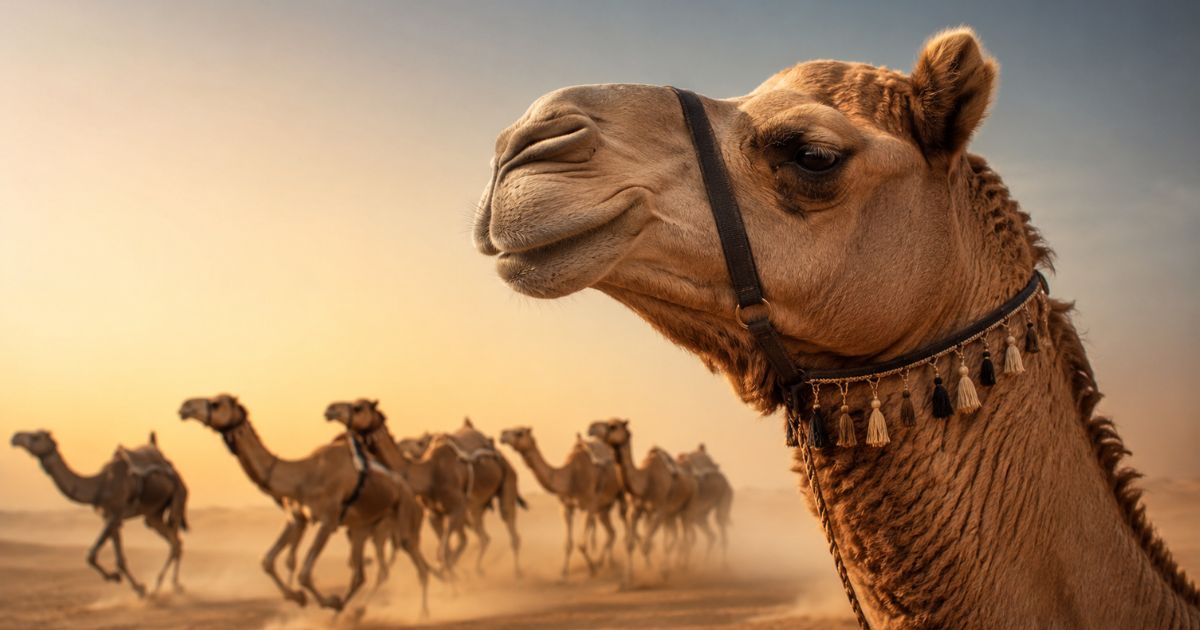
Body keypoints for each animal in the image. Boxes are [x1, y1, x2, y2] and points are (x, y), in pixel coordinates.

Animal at [10, 430, 187, 596]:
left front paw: (122, 581)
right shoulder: (109, 516)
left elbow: (91, 555)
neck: (101, 485)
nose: (15, 437)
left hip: (178, 498)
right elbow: (118, 559)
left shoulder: (115, 514)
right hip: (153, 514)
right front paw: (136, 587)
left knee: (175, 542)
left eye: (36, 437)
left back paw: (167, 585)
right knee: (173, 540)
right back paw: (165, 586)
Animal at [179, 394, 430, 616]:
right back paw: (345, 613)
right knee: (360, 573)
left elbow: (304, 573)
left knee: (417, 564)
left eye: (215, 403)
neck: (304, 474)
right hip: (361, 527)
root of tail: (410, 492)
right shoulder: (297, 518)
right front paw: (300, 597)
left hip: (403, 519)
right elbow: (268, 561)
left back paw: (421, 614)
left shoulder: (328, 520)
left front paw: (324, 600)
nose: (185, 406)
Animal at [498, 426, 625, 579]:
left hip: (618, 497)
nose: (502, 435)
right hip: (603, 507)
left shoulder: (589, 505)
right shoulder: (566, 507)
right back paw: (608, 563)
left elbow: (581, 544)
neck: (570, 476)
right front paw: (564, 573)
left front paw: (592, 569)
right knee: (611, 533)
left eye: (519, 432)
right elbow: (567, 544)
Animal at [587, 419, 697, 583]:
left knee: (685, 537)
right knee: (675, 537)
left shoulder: (659, 511)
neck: (645, 481)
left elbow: (647, 543)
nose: (591, 427)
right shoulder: (636, 510)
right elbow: (631, 544)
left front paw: (654, 571)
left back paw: (681, 567)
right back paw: (674, 566)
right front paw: (627, 578)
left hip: (687, 509)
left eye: (613, 426)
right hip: (671, 514)